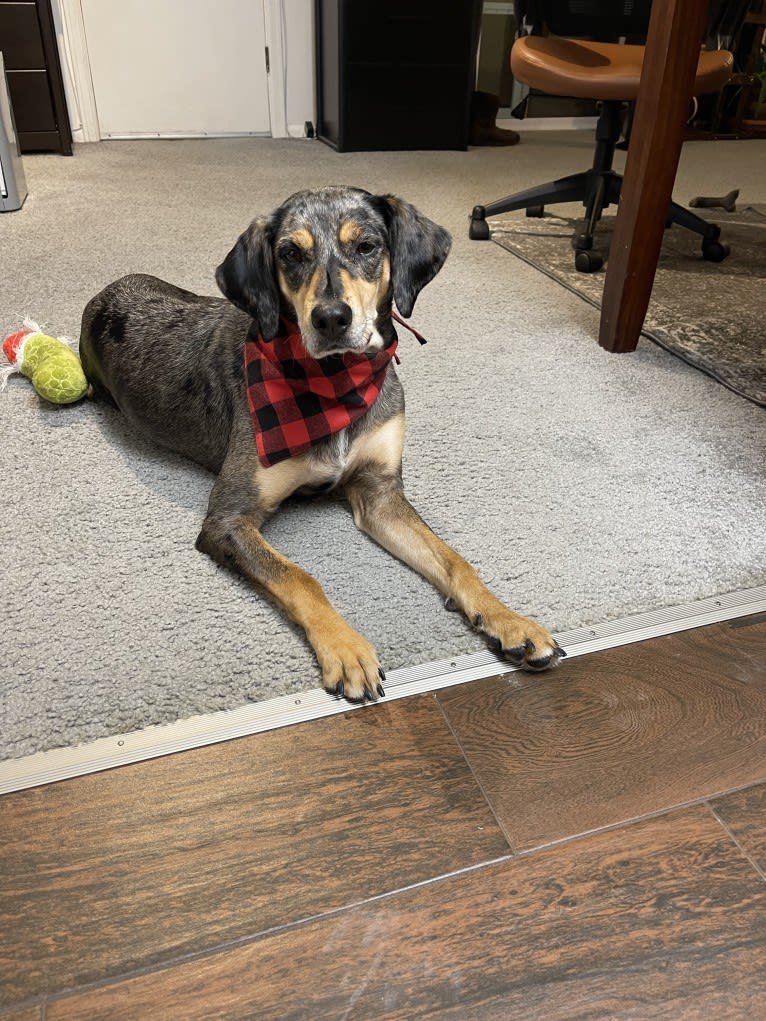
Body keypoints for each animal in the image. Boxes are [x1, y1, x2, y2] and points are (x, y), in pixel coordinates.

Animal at [81, 185, 567, 702]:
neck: (335, 384)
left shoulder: (379, 494)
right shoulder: (229, 519)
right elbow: (299, 576)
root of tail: (104, 293)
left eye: (367, 247)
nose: (331, 318)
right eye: (290, 253)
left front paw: (510, 621)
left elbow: (455, 561)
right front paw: (346, 648)